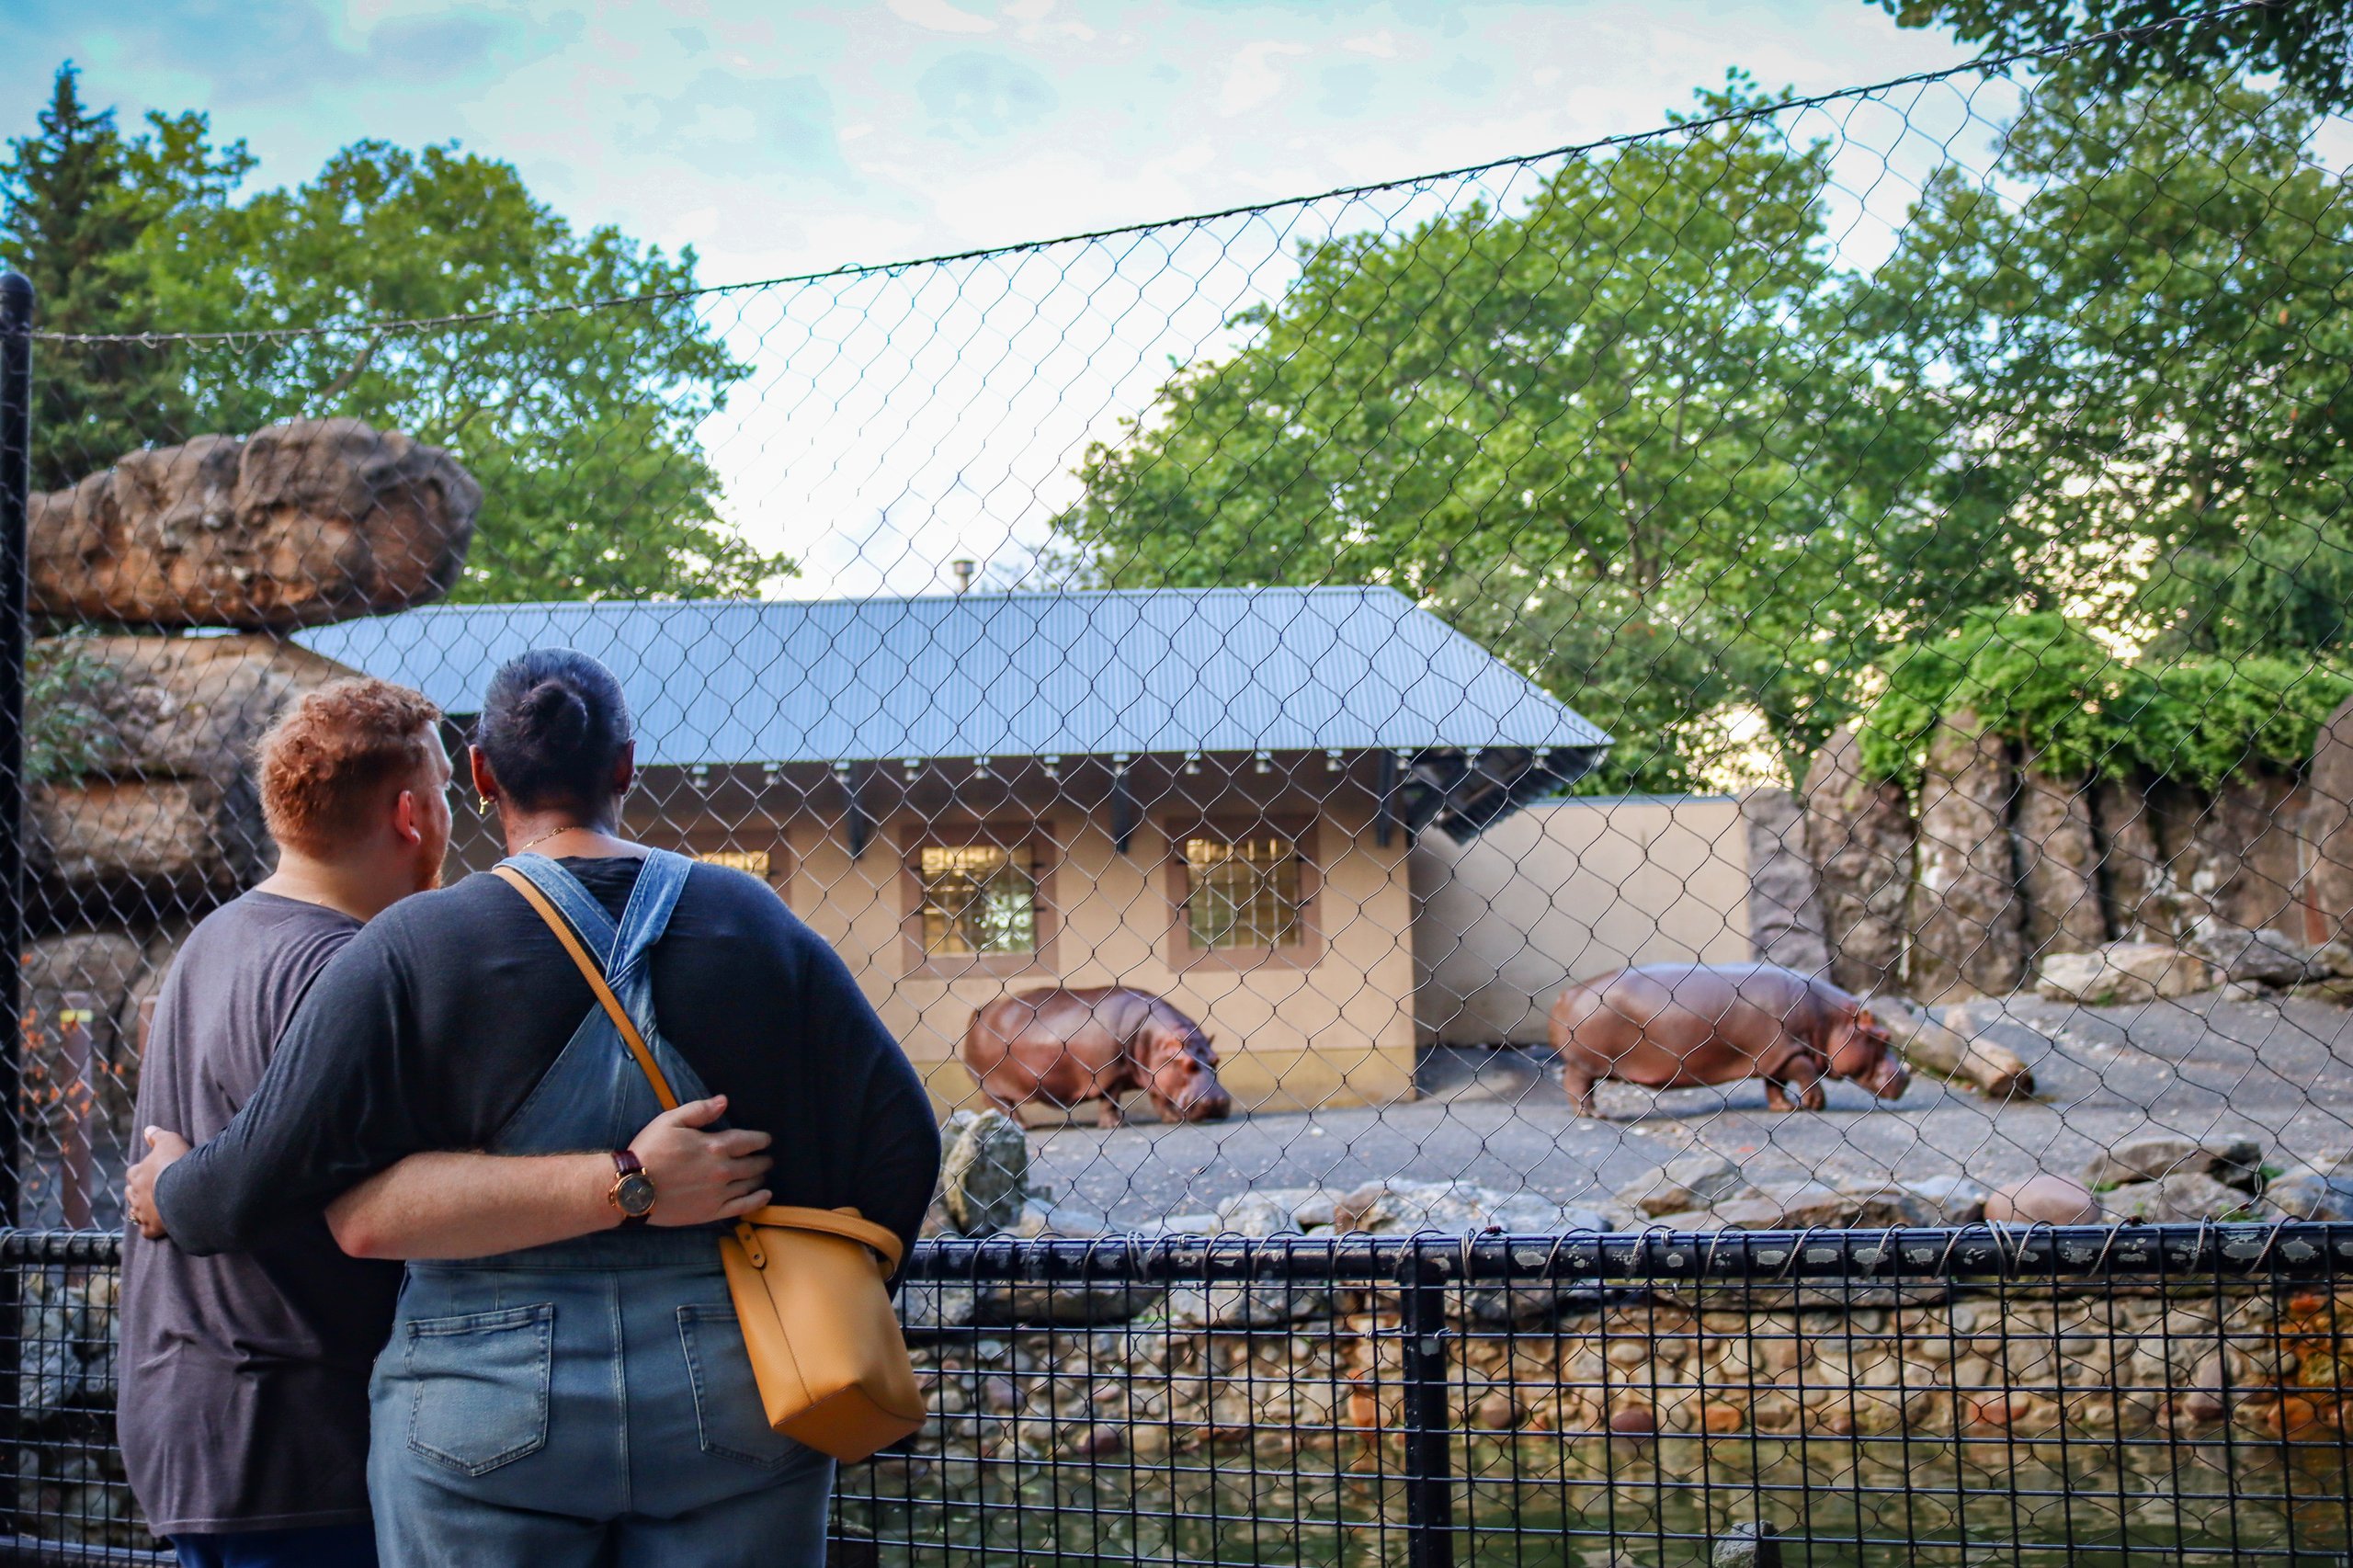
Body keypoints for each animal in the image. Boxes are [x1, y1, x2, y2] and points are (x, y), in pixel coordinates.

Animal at [955, 983, 1233, 1116]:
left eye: (1216, 1060)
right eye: (1187, 1063)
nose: (1218, 1102)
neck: (1152, 1038)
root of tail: (979, 1010)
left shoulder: (1155, 1076)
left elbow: (1160, 1099)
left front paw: (1170, 1119)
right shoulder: (1109, 1075)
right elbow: (1110, 1101)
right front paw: (1112, 1125)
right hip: (990, 1084)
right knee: (1000, 1106)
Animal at [1552, 960, 1901, 1116]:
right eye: (1883, 1036)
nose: (1906, 1076)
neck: (1831, 1022)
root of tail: (1567, 994)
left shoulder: (1774, 1057)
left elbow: (1775, 1084)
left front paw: (1783, 1107)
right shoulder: (1789, 1050)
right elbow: (1807, 1073)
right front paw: (1815, 1104)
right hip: (1586, 1062)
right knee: (1576, 1084)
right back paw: (1594, 1114)